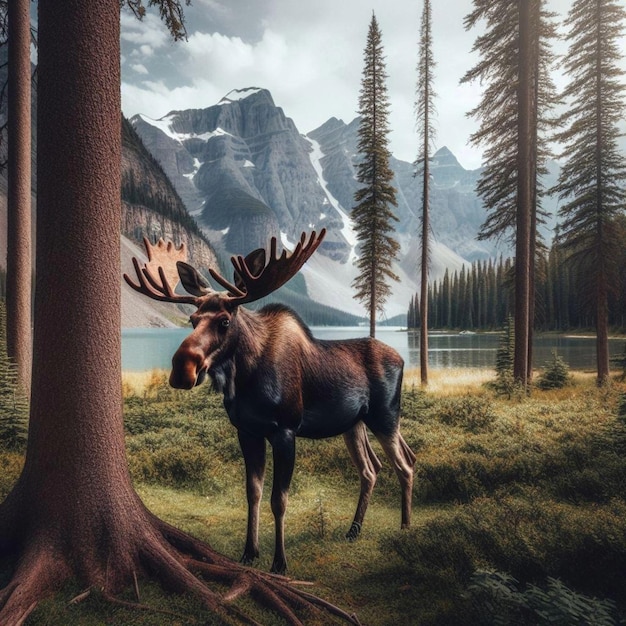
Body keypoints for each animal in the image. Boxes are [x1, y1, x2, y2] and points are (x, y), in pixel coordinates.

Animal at [123, 229, 414, 572]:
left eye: (224, 321)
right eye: (193, 319)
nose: (183, 369)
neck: (244, 379)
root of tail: (402, 359)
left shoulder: (285, 431)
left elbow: (280, 499)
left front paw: (280, 561)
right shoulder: (247, 431)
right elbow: (253, 493)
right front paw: (249, 552)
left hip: (385, 416)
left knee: (405, 464)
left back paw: (405, 527)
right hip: (353, 424)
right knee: (371, 469)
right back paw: (353, 531)